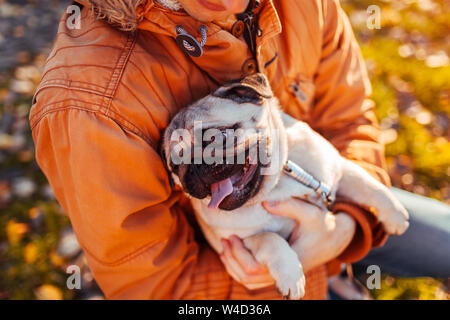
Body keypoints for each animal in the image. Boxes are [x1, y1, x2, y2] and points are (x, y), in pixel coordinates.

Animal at [161, 73, 408, 300]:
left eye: (216, 136)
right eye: (175, 167)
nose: (193, 168)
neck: (279, 181)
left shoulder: (335, 172)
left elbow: (370, 186)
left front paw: (396, 215)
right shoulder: (237, 242)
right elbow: (271, 239)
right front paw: (291, 277)